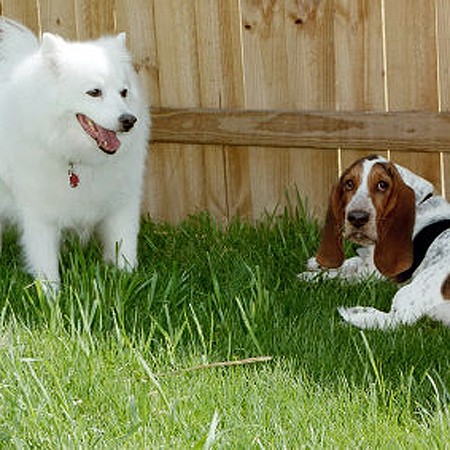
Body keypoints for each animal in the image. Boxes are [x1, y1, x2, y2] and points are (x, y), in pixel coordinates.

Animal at [0, 17, 151, 288]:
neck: (80, 159)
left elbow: (125, 251)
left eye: (123, 92)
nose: (129, 120)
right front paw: (51, 297)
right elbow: (46, 267)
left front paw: (128, 283)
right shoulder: (40, 215)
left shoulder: (121, 205)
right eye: (94, 92)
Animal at [300, 156, 450, 328]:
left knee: (394, 321)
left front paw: (309, 277)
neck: (420, 203)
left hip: (417, 287)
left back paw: (353, 316)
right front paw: (316, 263)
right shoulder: (368, 260)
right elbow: (350, 261)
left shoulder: (372, 273)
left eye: (382, 185)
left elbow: (340, 276)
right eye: (349, 183)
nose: (357, 218)